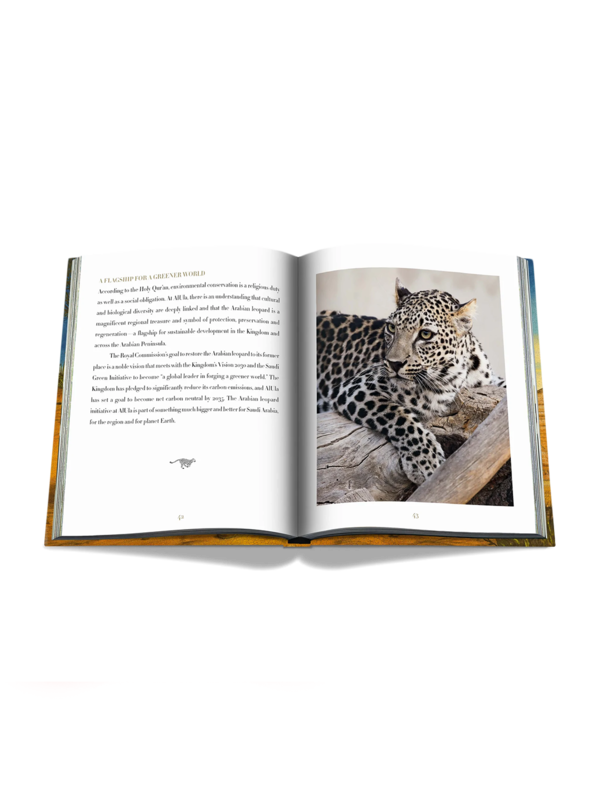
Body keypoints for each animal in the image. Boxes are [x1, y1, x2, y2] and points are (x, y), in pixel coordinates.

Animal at [317, 278, 506, 486]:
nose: (394, 363)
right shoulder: (357, 386)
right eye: (392, 328)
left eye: (425, 335)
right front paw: (426, 462)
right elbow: (398, 416)